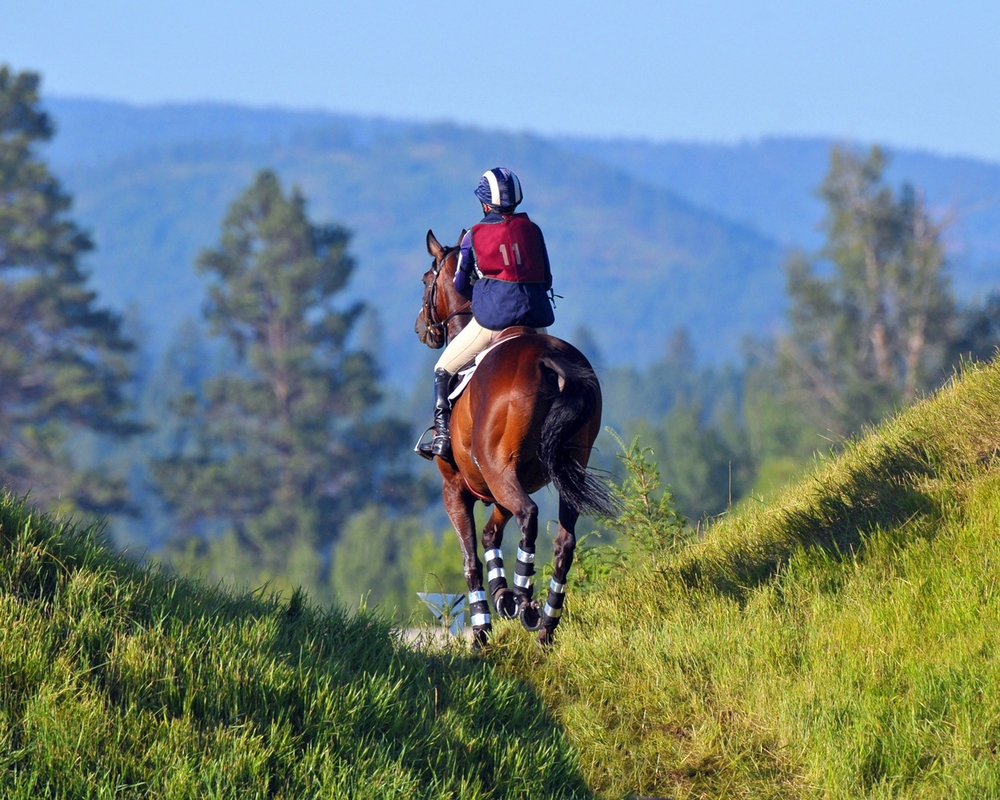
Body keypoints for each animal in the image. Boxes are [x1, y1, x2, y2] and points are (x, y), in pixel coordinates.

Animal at [414, 229, 618, 646]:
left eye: (426, 281)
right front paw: (501, 594)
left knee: (529, 515)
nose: (420, 327)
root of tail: (548, 360)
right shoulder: (497, 487)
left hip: (500, 470)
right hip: (562, 470)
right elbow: (491, 536)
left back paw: (526, 601)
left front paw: (482, 628)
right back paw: (546, 622)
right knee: (563, 540)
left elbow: (472, 557)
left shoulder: (456, 488)